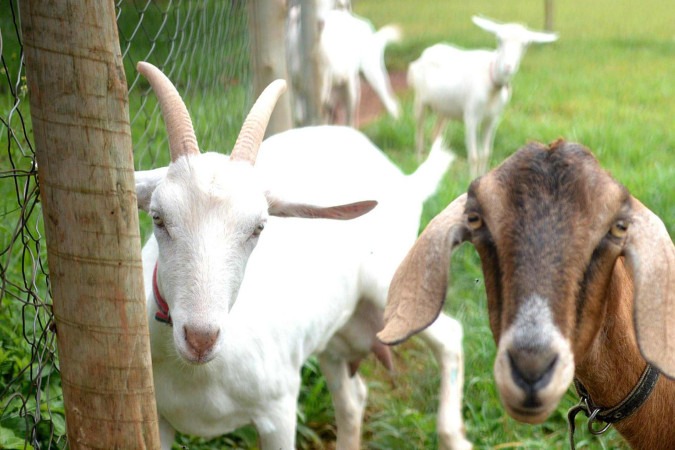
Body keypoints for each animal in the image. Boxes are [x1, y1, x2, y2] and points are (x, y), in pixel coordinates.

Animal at [134, 62, 471, 449]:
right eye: (157, 217)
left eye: (259, 227)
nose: (201, 338)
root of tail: (404, 181)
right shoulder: (160, 419)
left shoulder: (278, 411)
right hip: (335, 332)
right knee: (353, 400)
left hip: (391, 282)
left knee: (449, 336)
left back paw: (453, 435)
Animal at [408, 16, 557, 176]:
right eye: (499, 39)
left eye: (525, 44)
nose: (507, 67)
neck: (492, 83)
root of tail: (425, 53)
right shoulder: (471, 116)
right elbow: (474, 156)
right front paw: (472, 178)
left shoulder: (492, 119)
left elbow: (486, 153)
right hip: (419, 99)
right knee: (419, 129)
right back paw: (418, 160)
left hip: (444, 108)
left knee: (435, 132)